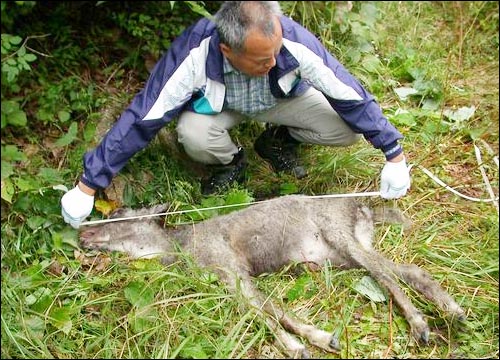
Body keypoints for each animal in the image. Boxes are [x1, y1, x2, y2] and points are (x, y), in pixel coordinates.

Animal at [78, 195, 464, 358]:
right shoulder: (226, 280)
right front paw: (316, 341)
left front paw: (304, 345)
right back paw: (452, 311)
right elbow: (266, 312)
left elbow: (267, 312)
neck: (182, 248)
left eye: (117, 216)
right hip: (341, 255)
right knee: (405, 270)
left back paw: (422, 324)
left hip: (340, 234)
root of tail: (364, 209)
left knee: (385, 273)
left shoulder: (232, 268)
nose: (83, 233)